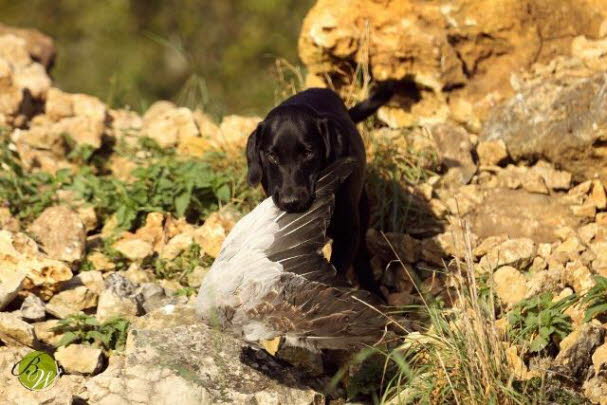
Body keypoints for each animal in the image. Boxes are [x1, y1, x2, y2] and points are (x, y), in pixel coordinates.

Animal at [246, 85, 394, 296]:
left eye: (308, 153)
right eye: (272, 156)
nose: (291, 202)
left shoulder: (348, 232)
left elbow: (337, 271)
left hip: (363, 209)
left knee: (362, 256)